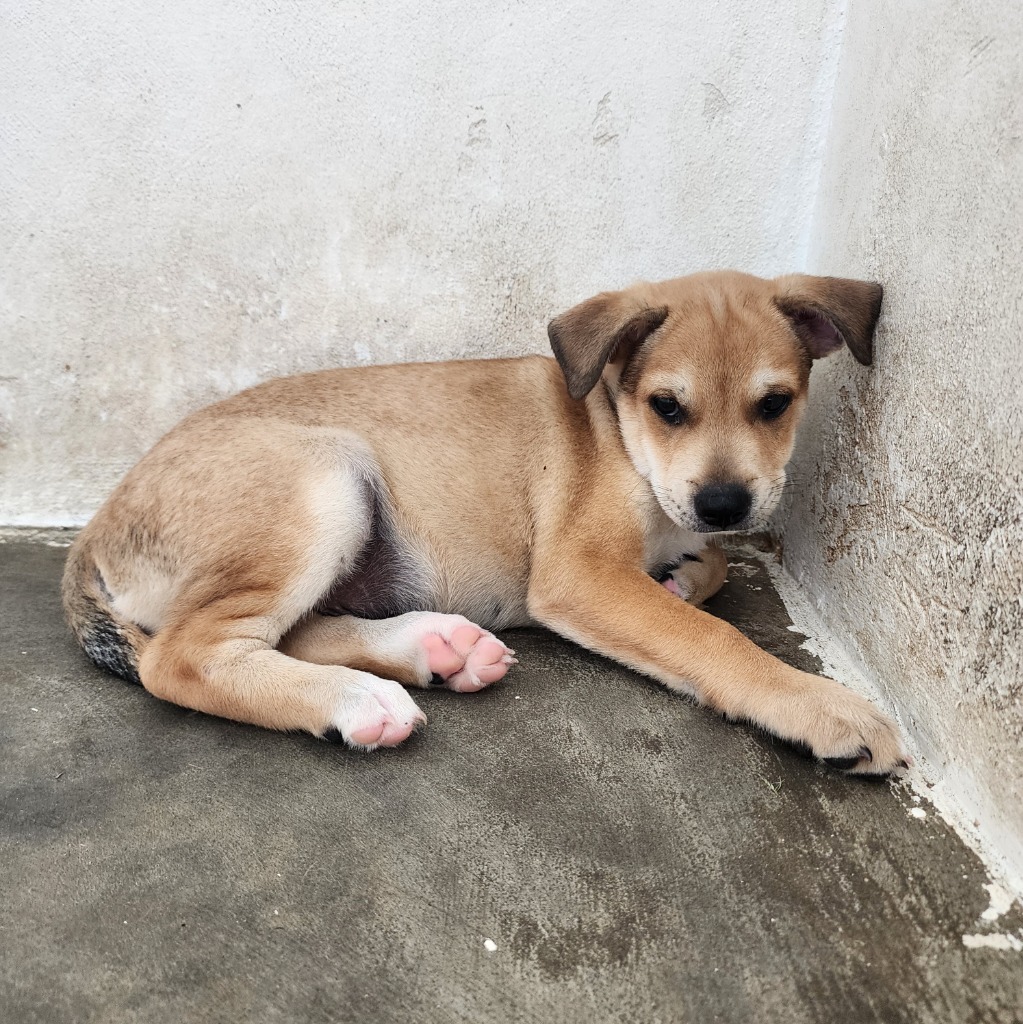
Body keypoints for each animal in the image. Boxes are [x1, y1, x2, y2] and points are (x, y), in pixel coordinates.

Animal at [64, 268, 909, 770]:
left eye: (775, 403)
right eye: (667, 406)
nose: (725, 505)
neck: (617, 426)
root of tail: (95, 533)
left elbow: (714, 567)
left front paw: (684, 570)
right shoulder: (580, 573)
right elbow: (713, 639)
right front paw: (816, 705)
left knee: (280, 632)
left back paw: (433, 649)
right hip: (325, 479)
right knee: (181, 657)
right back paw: (355, 699)